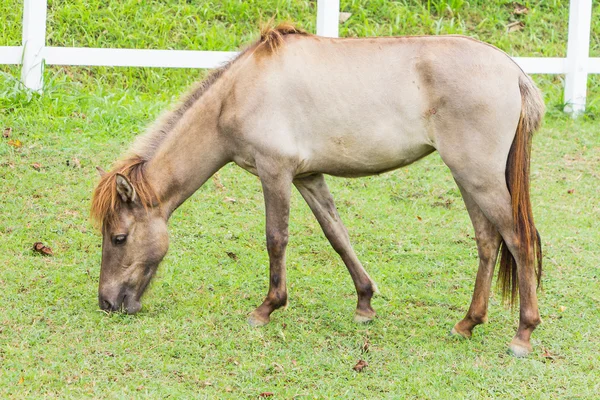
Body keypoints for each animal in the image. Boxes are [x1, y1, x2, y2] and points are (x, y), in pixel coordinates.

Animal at [91, 24, 548, 356]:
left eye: (119, 238)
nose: (108, 304)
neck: (238, 93)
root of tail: (512, 71)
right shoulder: (307, 177)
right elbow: (337, 235)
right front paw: (364, 303)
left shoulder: (274, 172)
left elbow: (276, 238)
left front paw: (266, 309)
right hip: (468, 177)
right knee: (488, 242)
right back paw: (467, 323)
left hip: (478, 176)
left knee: (519, 240)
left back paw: (523, 335)